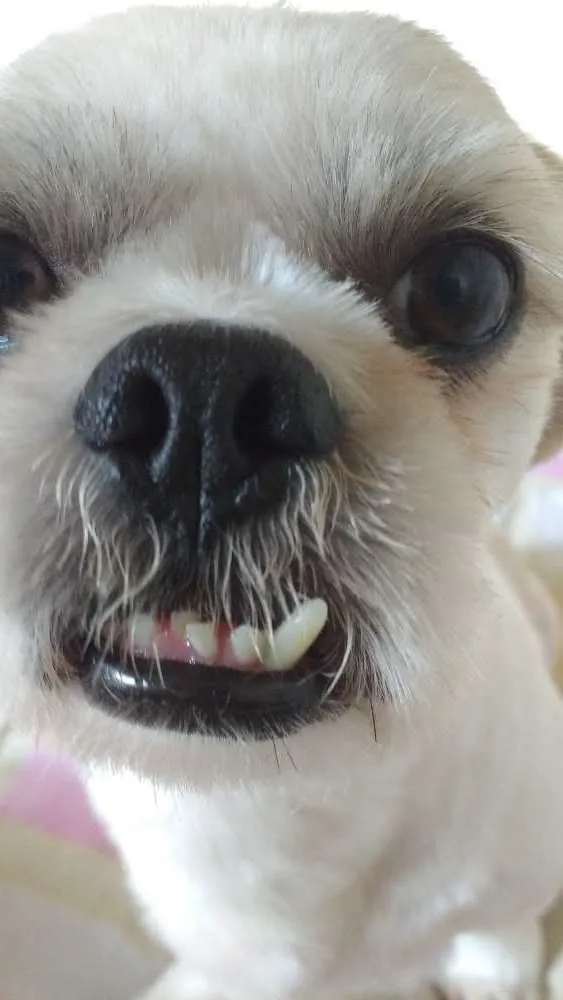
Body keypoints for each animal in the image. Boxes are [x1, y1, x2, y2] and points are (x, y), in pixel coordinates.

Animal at [1, 4, 563, 998]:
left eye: (463, 289)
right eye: (0, 271)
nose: (201, 397)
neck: (283, 804)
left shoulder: (514, 879)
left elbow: (498, 936)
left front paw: (495, 971)